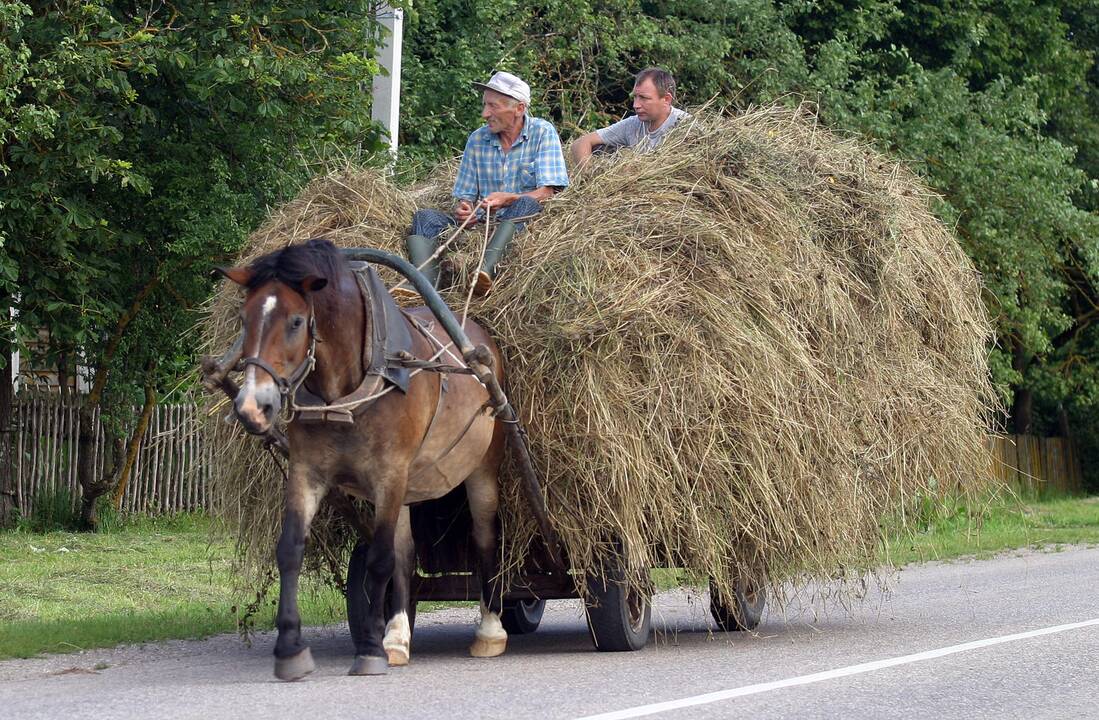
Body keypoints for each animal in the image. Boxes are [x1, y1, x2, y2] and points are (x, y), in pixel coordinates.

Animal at [218, 238, 509, 681]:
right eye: (243, 318)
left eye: (297, 321)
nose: (253, 407)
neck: (346, 393)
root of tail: (479, 336)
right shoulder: (306, 473)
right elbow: (291, 550)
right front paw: (291, 649)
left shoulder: (389, 476)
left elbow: (379, 560)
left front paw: (369, 649)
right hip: (409, 486)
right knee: (406, 553)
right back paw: (398, 635)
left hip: (481, 471)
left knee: (484, 538)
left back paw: (490, 629)